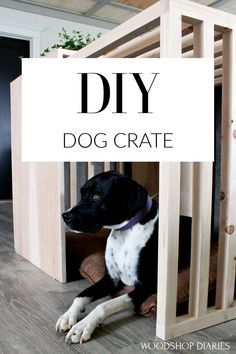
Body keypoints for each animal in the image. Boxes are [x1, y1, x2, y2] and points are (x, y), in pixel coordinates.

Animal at [55, 171, 190, 342]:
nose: (64, 216)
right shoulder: (111, 279)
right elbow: (81, 294)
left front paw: (82, 327)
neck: (125, 233)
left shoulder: (146, 286)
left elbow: (103, 305)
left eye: (96, 196)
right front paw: (68, 316)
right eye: (82, 193)